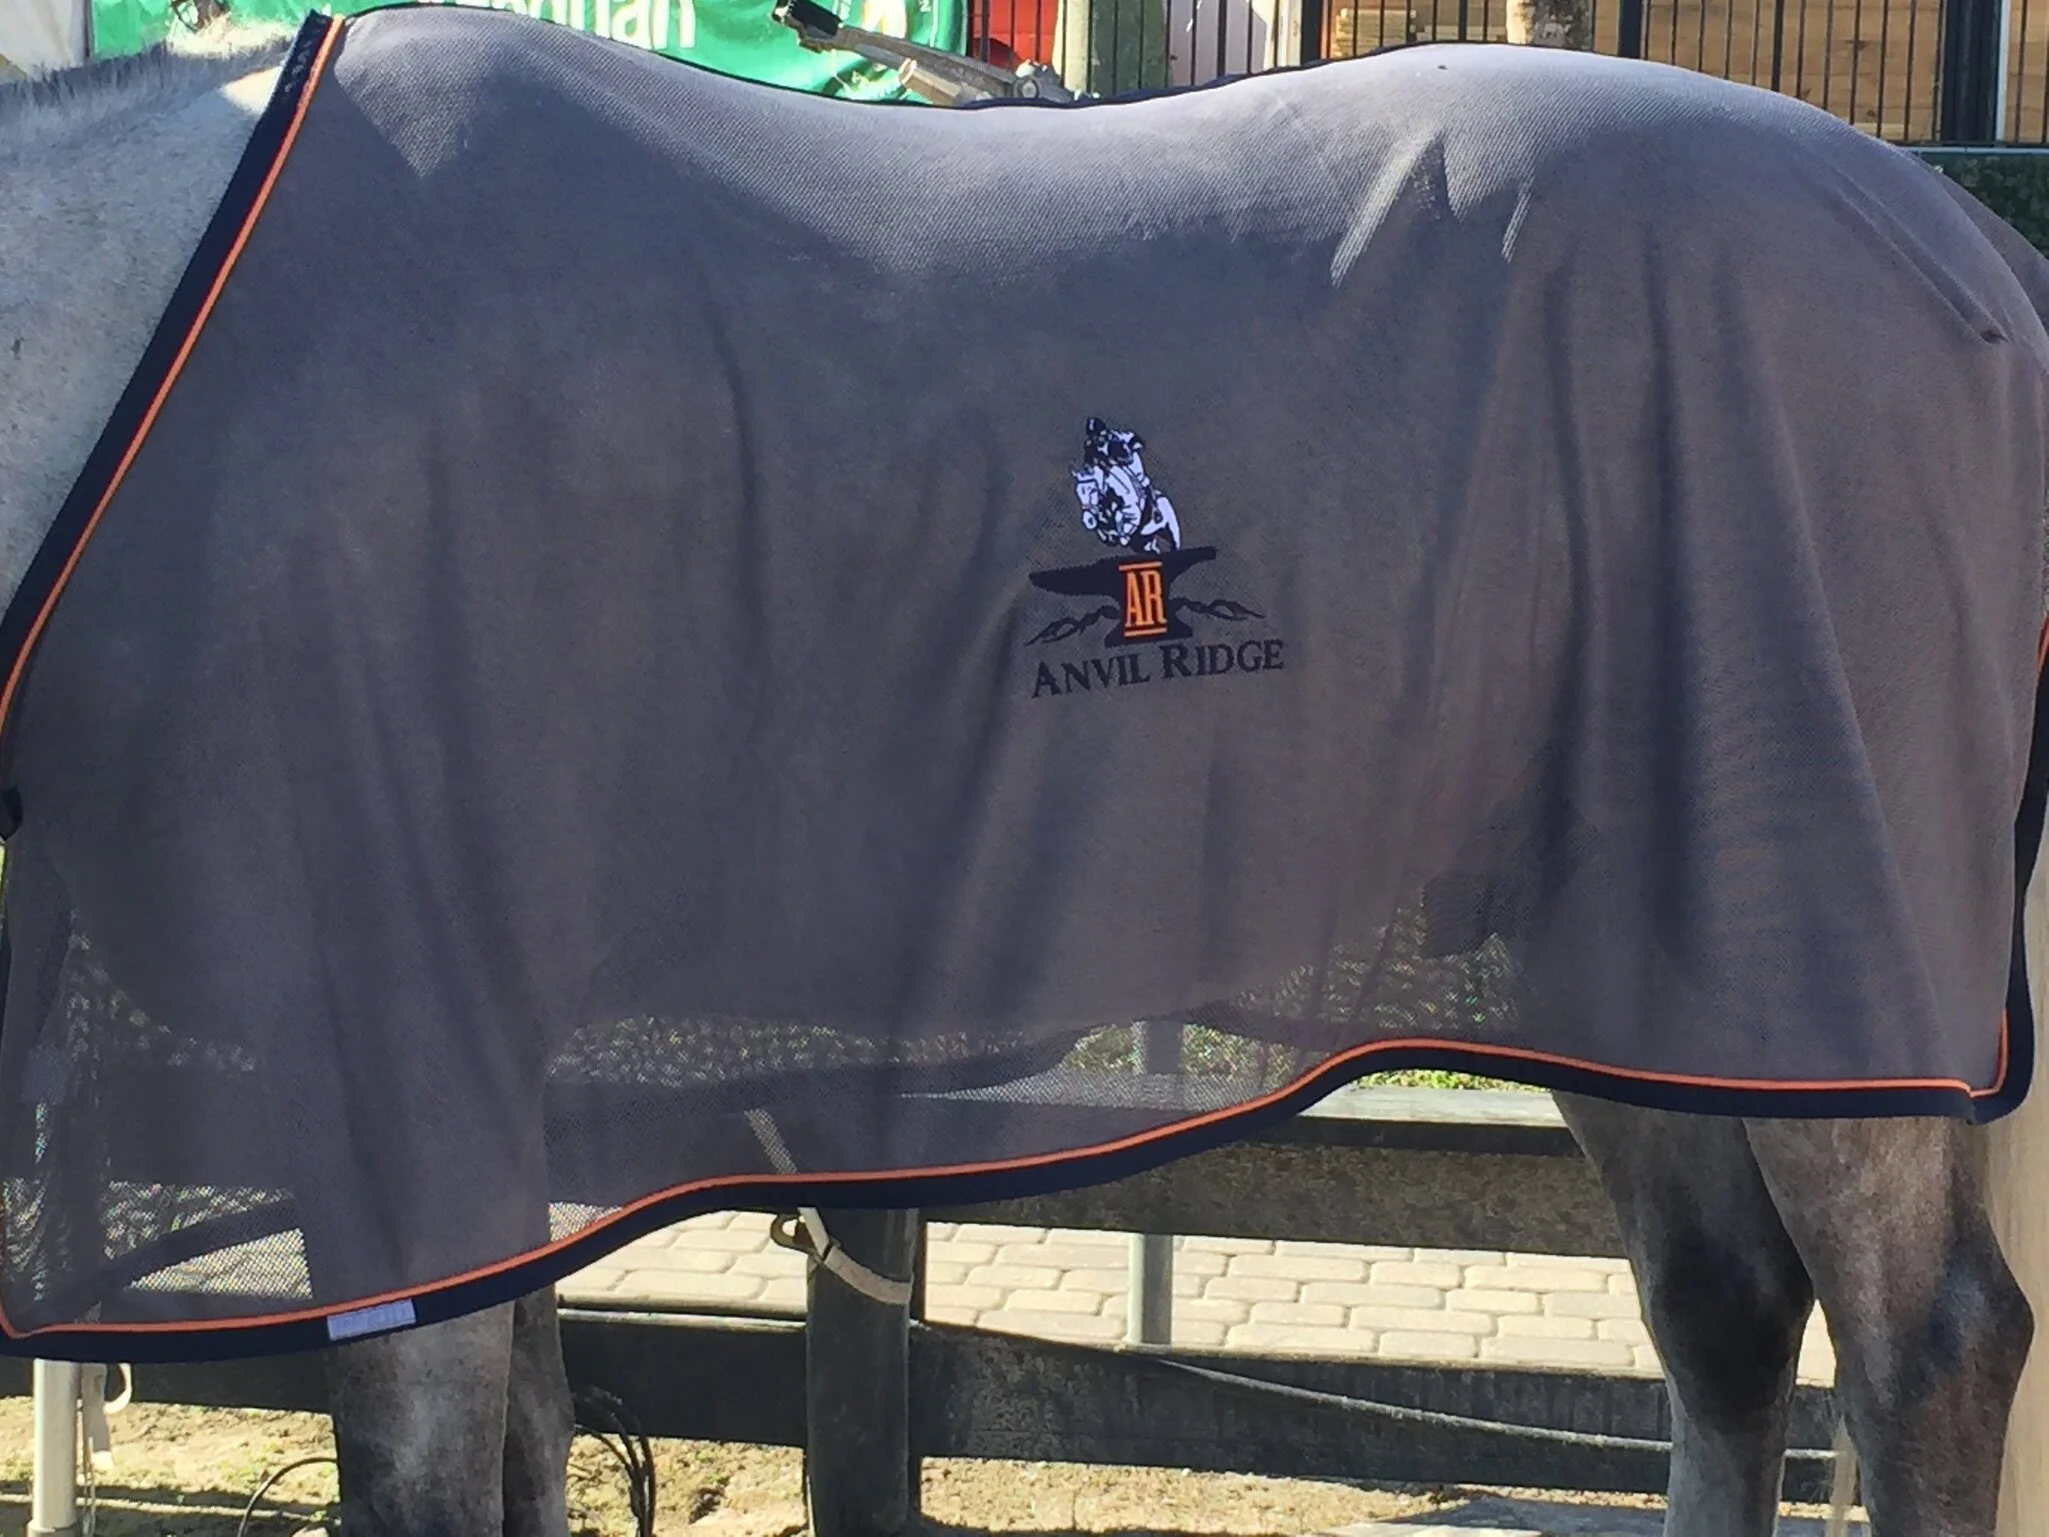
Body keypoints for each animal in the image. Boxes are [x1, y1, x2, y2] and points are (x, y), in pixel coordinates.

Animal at [0, 13, 2043, 1536]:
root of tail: (1967, 248)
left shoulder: (387, 1064)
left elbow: (424, 1465)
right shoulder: (471, 1083)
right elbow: (522, 1435)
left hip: (1822, 948)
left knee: (1921, 1348)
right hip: (1638, 963)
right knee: (1720, 1318)